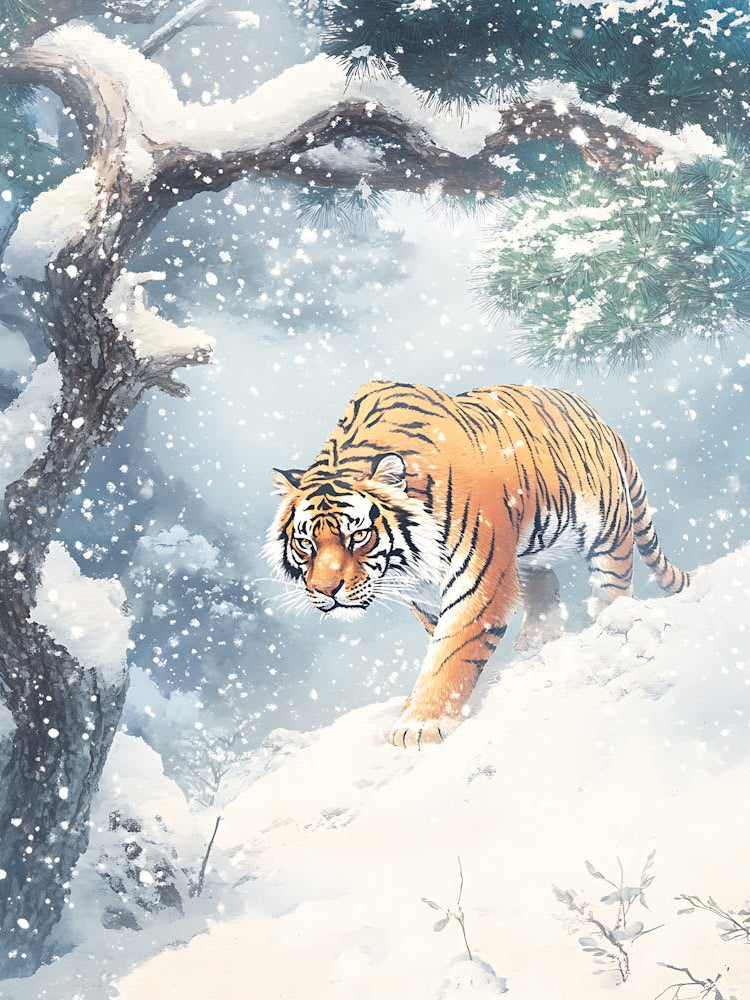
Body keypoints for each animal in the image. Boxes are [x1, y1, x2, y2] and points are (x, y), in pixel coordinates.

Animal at [267, 379, 690, 749]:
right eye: (305, 543)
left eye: (357, 536)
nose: (326, 591)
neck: (408, 565)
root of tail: (595, 414)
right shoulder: (423, 595)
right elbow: (440, 645)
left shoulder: (480, 581)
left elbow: (451, 651)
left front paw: (420, 724)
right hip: (532, 547)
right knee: (543, 583)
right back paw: (538, 636)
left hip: (607, 527)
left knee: (613, 583)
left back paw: (609, 622)